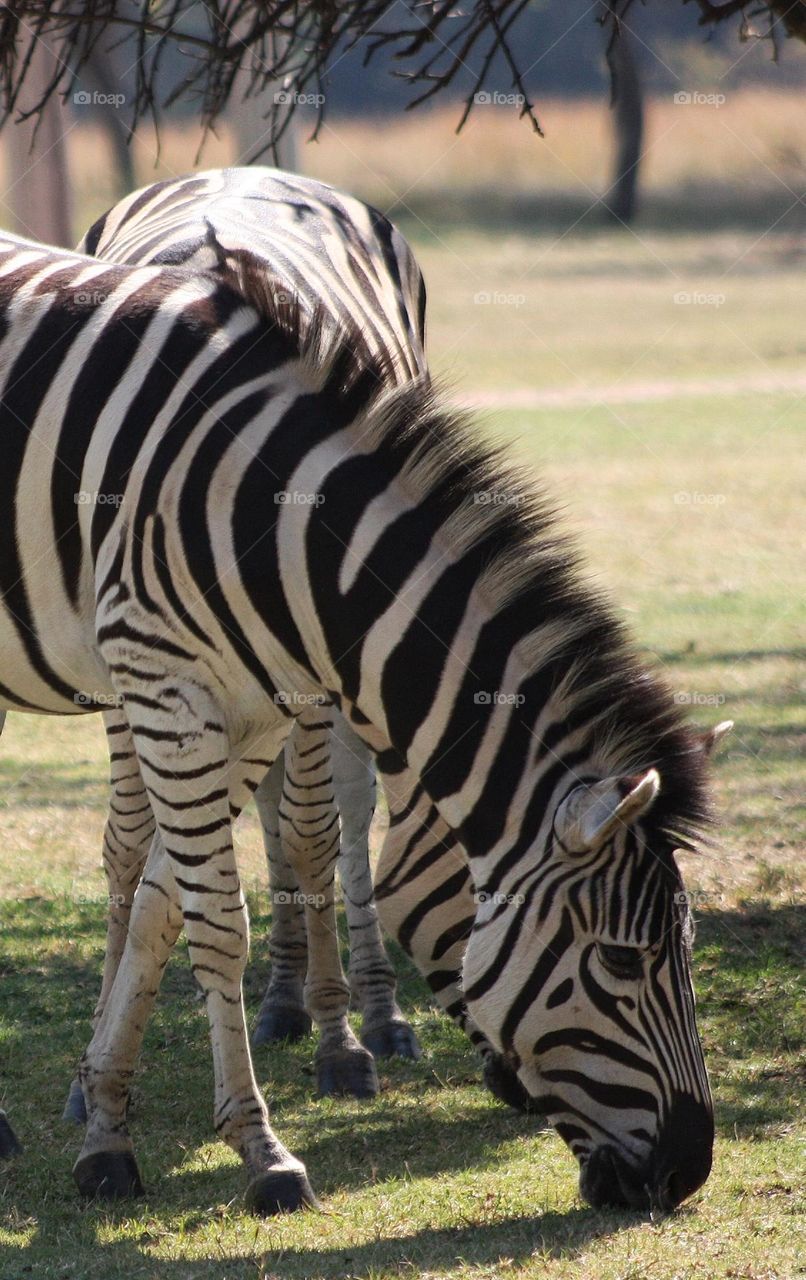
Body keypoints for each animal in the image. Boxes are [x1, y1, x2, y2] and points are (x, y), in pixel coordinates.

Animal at [0, 225, 721, 1213]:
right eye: (618, 961)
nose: (690, 1170)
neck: (284, 531)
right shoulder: (163, 682)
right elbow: (218, 923)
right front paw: (262, 1152)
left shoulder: (253, 712)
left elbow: (160, 911)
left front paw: (107, 1128)